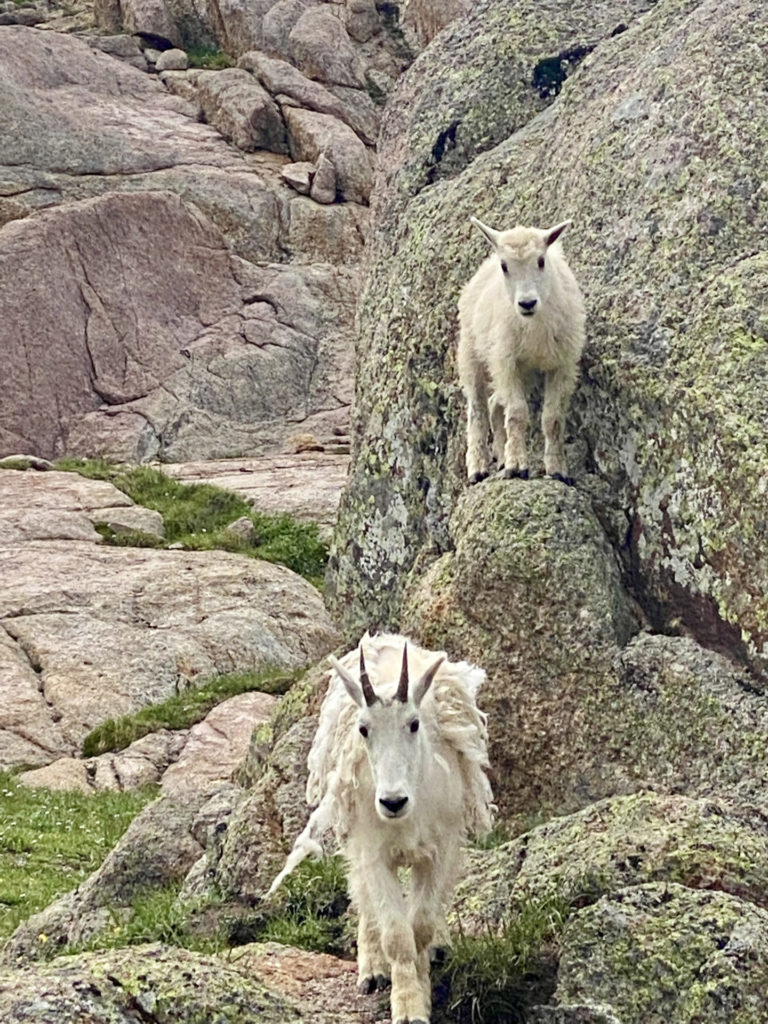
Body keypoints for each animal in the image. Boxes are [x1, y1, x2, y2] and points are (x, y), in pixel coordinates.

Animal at [268, 630, 493, 1024]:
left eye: (414, 724)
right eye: (364, 729)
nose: (392, 801)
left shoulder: (439, 850)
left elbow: (420, 926)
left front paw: (423, 985)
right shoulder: (374, 852)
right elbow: (397, 936)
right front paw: (407, 1006)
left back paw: (439, 948)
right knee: (361, 893)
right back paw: (372, 969)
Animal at [456, 215, 589, 483]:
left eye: (541, 261)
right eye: (505, 266)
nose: (527, 303)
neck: (534, 325)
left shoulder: (562, 365)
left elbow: (553, 419)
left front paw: (556, 469)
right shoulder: (506, 361)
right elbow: (517, 414)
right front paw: (517, 466)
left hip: (523, 372)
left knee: (495, 403)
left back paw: (500, 454)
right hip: (470, 352)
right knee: (477, 410)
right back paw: (478, 467)